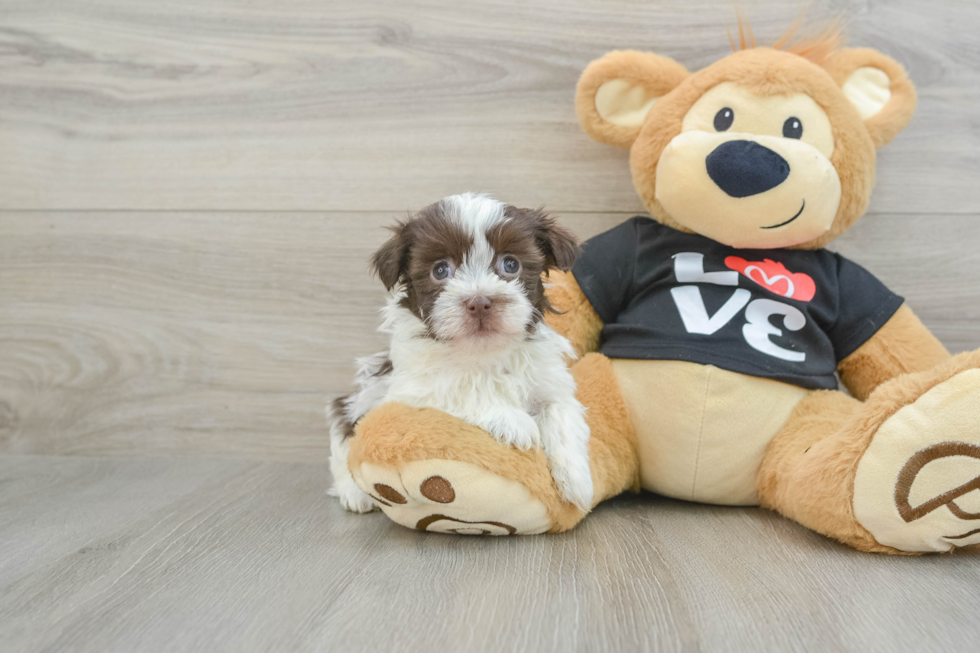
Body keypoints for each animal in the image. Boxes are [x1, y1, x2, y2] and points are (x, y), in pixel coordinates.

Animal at [330, 194, 592, 516]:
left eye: (510, 264)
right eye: (441, 270)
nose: (480, 302)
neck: (482, 352)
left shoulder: (549, 382)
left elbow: (560, 412)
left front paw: (578, 482)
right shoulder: (409, 390)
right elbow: (459, 387)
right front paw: (511, 420)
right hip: (361, 398)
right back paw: (354, 492)